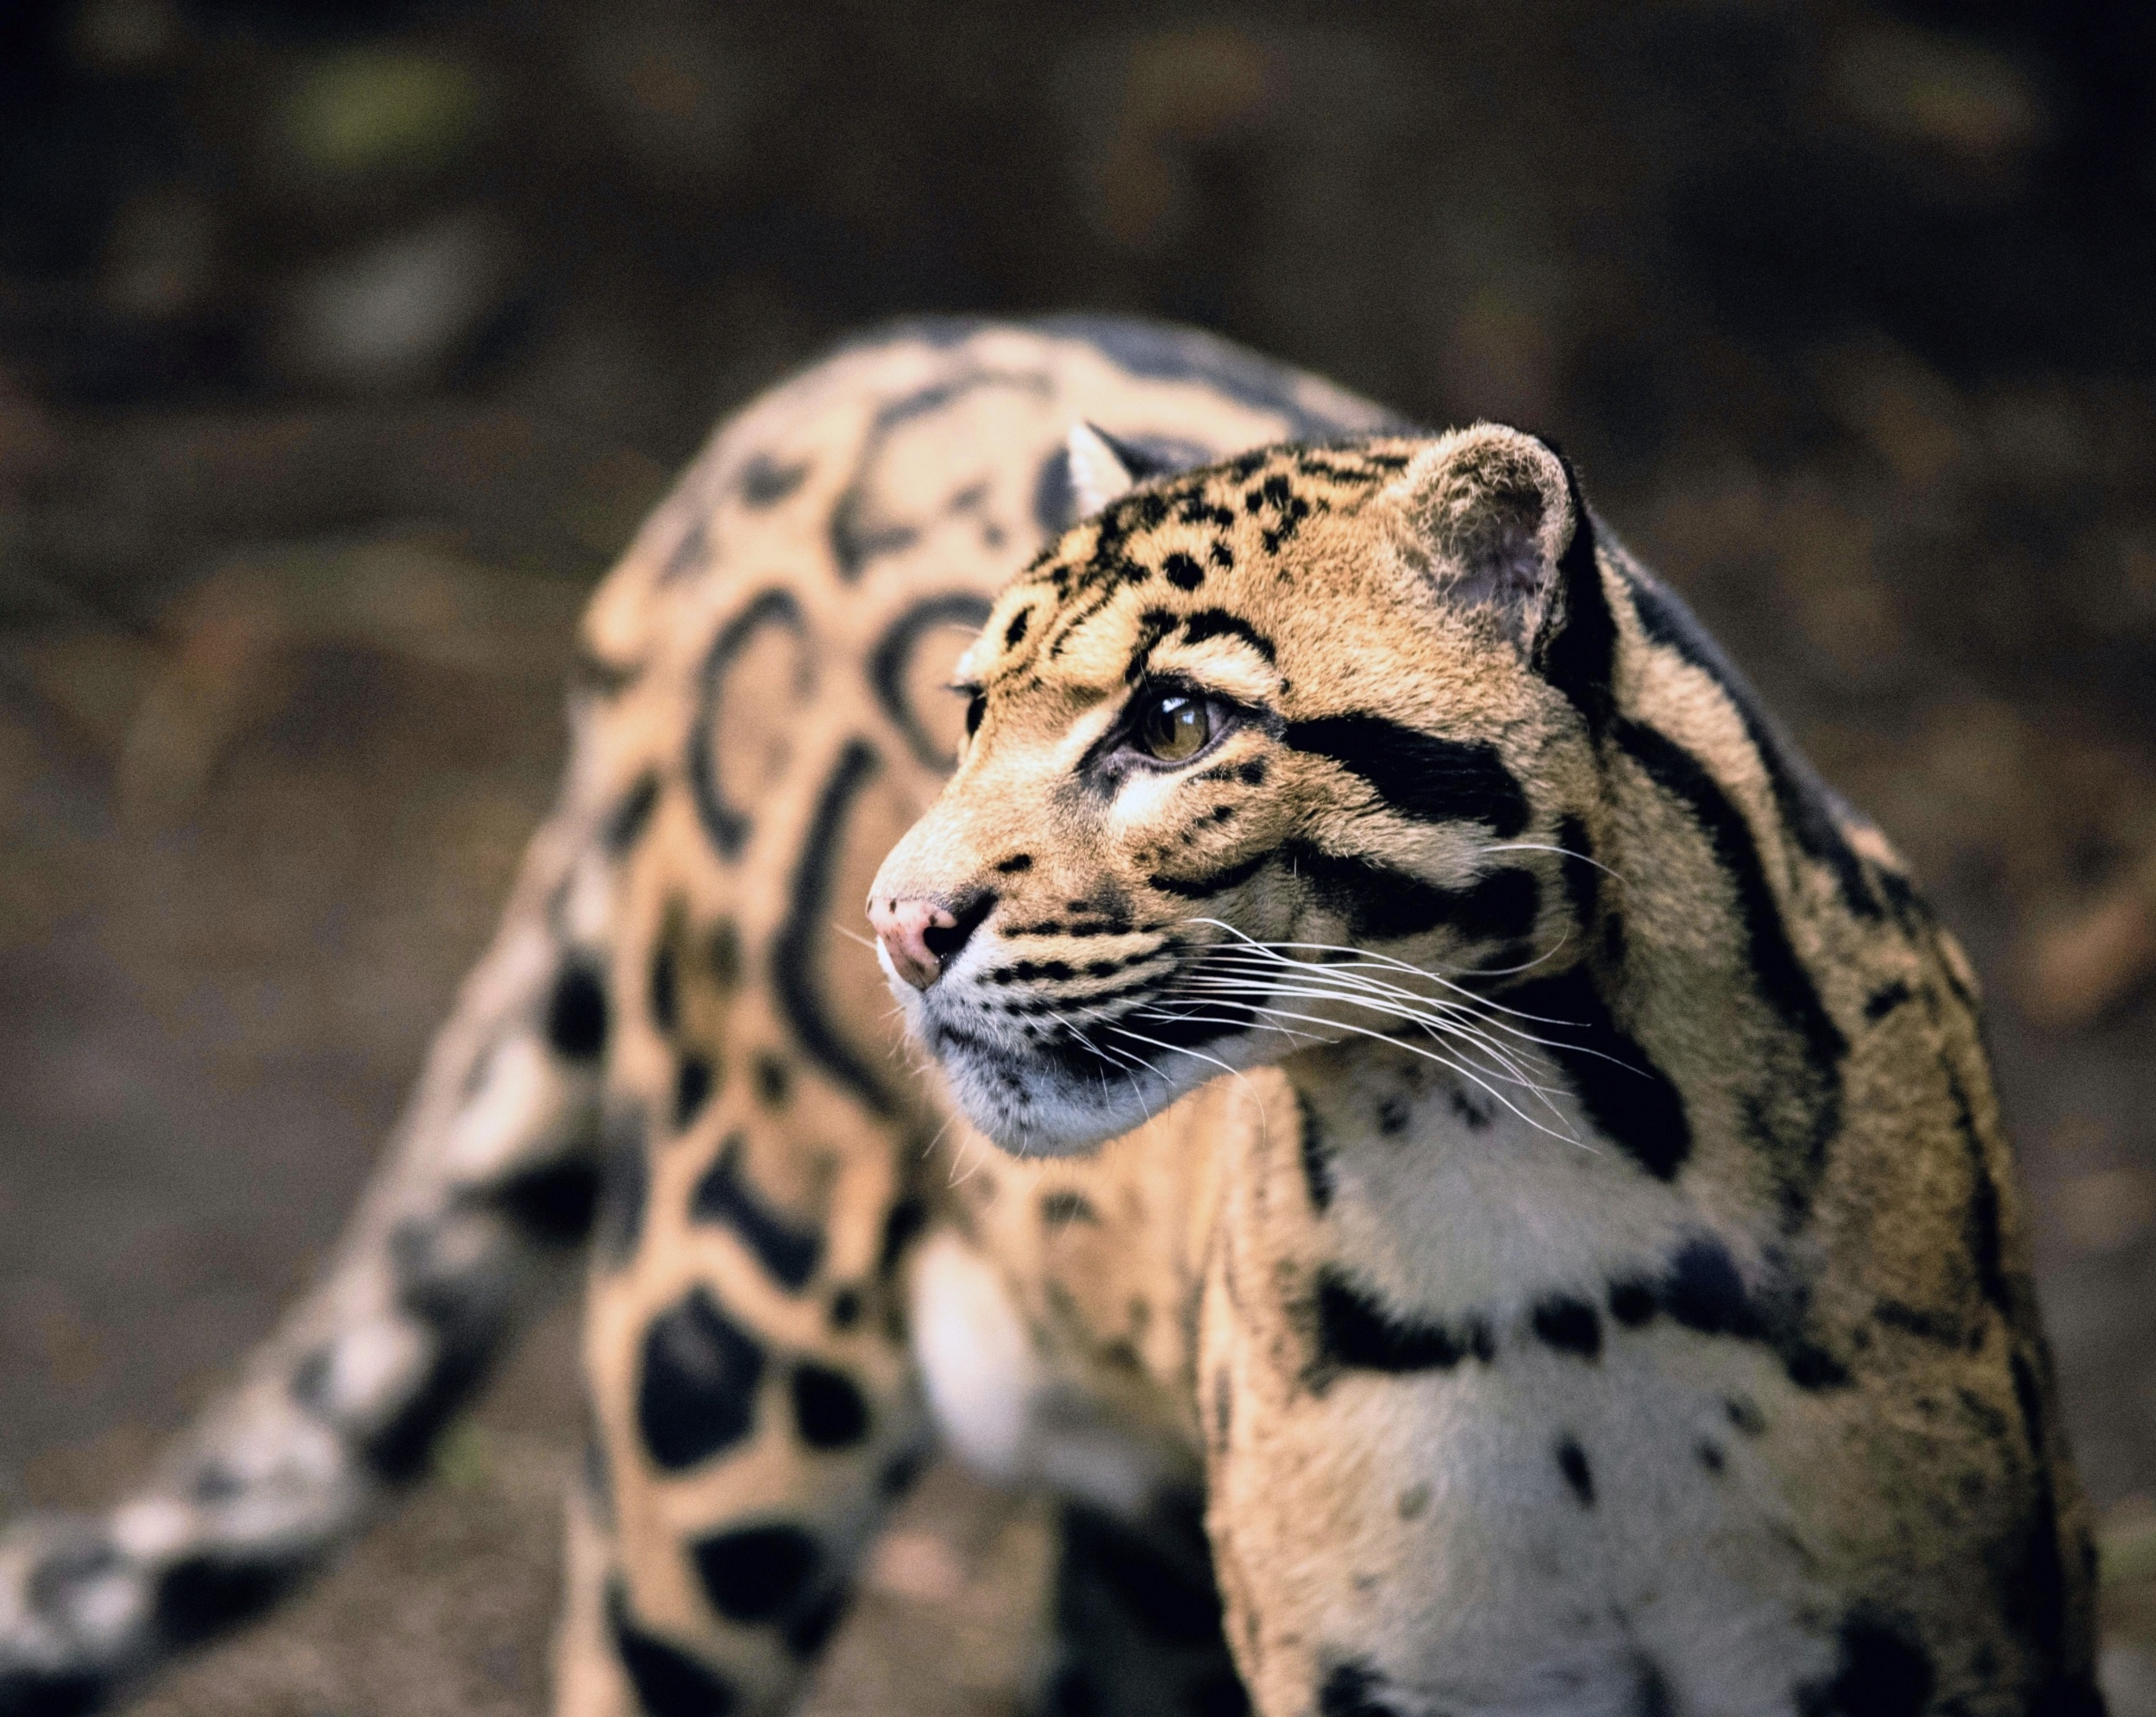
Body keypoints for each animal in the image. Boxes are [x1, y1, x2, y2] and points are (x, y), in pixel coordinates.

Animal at [0, 317, 2103, 1717]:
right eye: (970, 707)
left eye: (1171, 722)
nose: (895, 919)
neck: (1541, 1207)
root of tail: (783, 400)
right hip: (716, 1367)